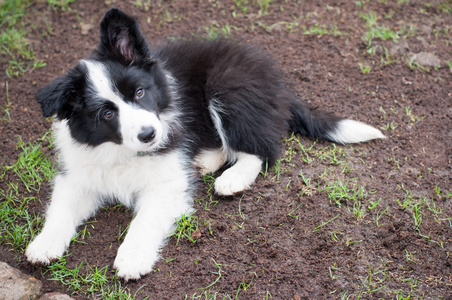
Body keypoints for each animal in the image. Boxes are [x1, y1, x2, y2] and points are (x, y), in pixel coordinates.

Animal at [25, 7, 384, 282]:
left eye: (139, 93)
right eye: (107, 114)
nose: (149, 135)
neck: (123, 152)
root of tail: (279, 85)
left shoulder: (167, 182)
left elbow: (145, 219)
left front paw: (133, 257)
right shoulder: (79, 172)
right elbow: (61, 207)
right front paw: (44, 244)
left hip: (229, 86)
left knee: (262, 148)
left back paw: (232, 179)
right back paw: (205, 161)